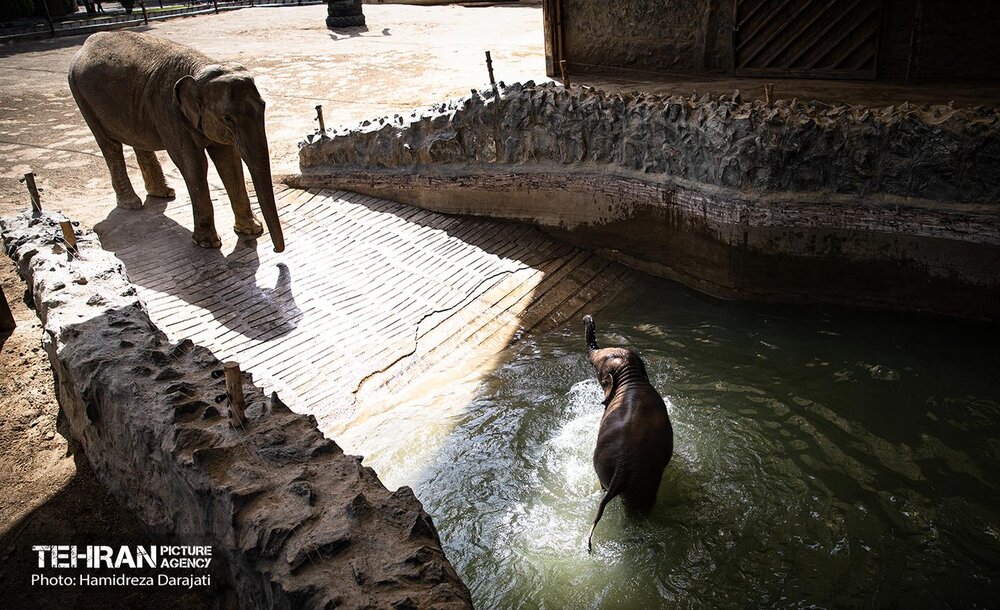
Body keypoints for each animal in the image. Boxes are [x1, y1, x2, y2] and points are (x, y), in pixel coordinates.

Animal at [66, 30, 286, 249]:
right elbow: (193, 165)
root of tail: (86, 45)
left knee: (138, 140)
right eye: (227, 118)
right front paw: (208, 244)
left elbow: (229, 161)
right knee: (109, 146)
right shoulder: (169, 113)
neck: (199, 69)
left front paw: (251, 229)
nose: (276, 249)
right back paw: (131, 204)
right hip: (81, 97)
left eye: (264, 105)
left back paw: (163, 193)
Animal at [584, 314, 672, 552]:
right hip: (641, 477)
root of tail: (624, 463)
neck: (632, 377)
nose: (588, 318)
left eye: (596, 367)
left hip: (623, 474)